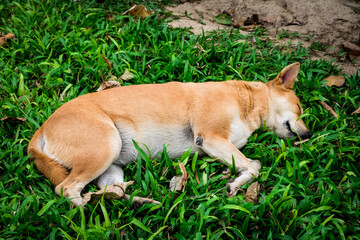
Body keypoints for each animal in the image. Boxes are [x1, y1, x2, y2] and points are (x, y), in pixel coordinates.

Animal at [27, 62, 312, 206]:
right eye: (299, 108)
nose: (309, 134)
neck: (247, 101)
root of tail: (41, 129)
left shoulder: (221, 145)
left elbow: (251, 164)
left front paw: (231, 178)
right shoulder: (211, 137)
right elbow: (254, 166)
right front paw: (235, 181)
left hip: (111, 164)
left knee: (111, 191)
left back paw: (138, 202)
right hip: (105, 147)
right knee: (66, 189)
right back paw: (89, 210)